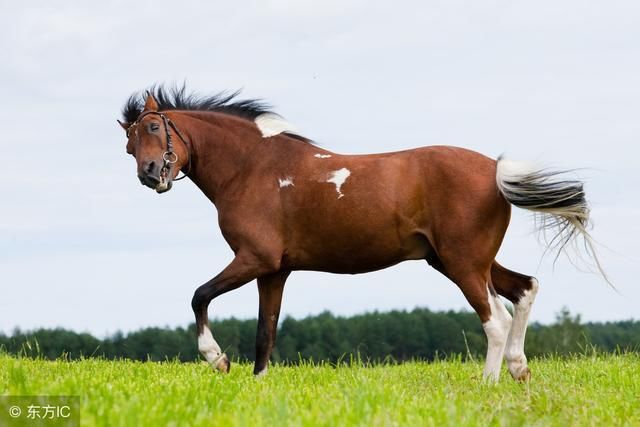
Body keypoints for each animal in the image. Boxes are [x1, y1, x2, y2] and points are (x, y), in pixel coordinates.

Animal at [120, 85, 604, 382]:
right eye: (128, 144)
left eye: (154, 127)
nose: (149, 174)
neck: (253, 167)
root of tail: (495, 170)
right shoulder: (274, 271)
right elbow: (265, 333)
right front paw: (257, 383)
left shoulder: (254, 259)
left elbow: (199, 295)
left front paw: (216, 358)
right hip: (461, 260)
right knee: (525, 289)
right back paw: (519, 370)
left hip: (464, 264)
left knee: (496, 319)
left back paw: (488, 382)